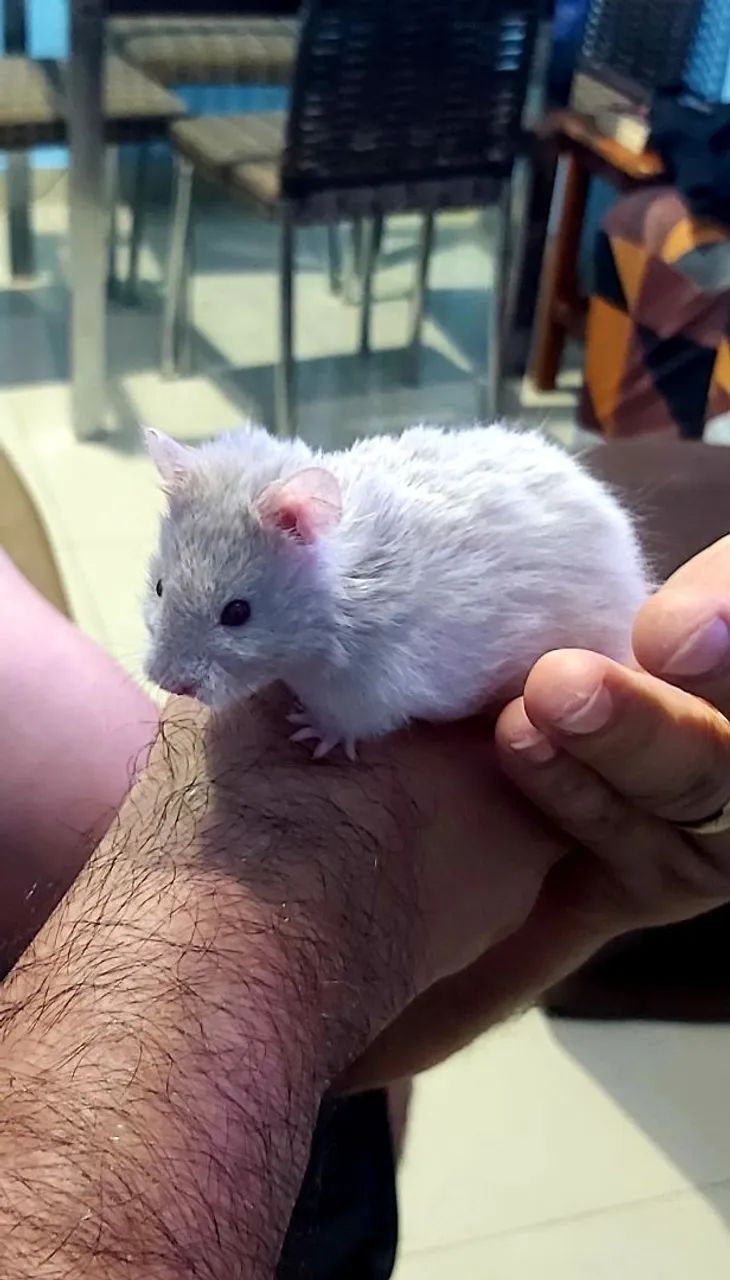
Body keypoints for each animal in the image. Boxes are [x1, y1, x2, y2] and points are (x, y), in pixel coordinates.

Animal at [143, 423, 649, 758]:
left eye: (237, 613)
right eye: (160, 587)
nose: (168, 683)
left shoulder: (373, 688)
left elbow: (346, 722)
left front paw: (310, 734)